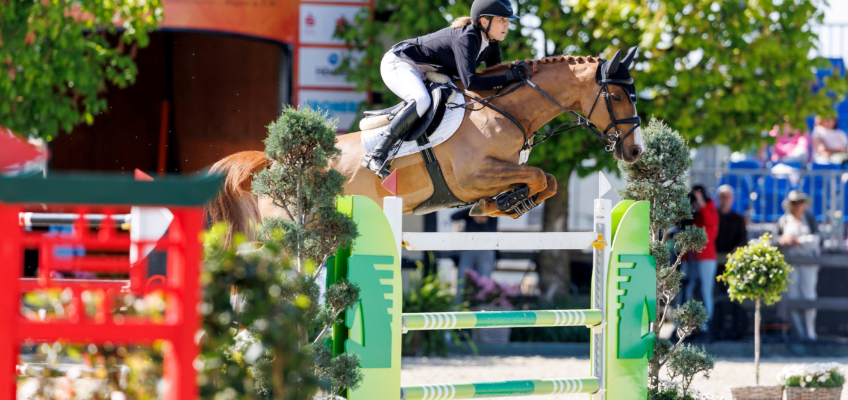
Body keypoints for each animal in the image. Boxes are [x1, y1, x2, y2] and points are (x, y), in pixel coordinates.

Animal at [206, 48, 644, 242]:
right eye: (617, 96)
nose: (635, 151)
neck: (503, 111)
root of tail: (273, 164)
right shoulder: (473, 176)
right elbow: (539, 176)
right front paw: (504, 202)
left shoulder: (494, 174)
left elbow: (546, 181)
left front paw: (504, 204)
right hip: (291, 227)